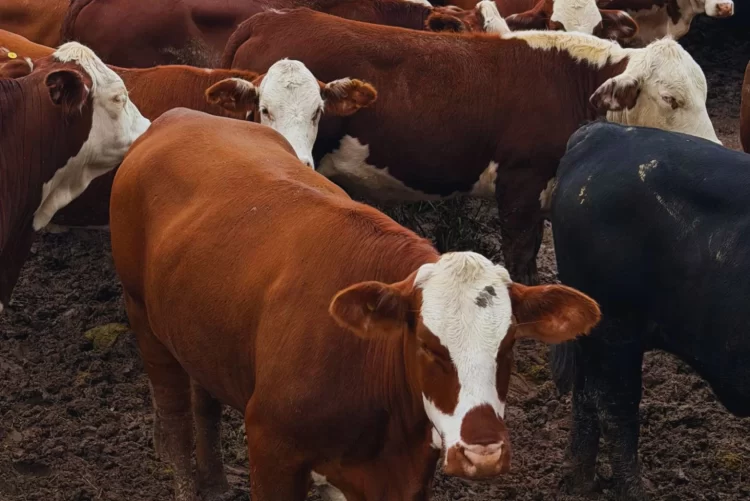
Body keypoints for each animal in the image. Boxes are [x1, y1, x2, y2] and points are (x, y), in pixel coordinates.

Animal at [109, 107, 601, 501]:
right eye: (426, 345)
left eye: (509, 345)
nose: (482, 453)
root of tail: (181, 116)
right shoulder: (271, 448)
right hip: (142, 315)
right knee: (175, 416)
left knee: (205, 400)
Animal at [222, 8, 719, 285]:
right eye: (671, 99)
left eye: (704, 93)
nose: (713, 151)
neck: (571, 86)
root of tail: (269, 17)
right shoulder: (521, 182)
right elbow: (521, 255)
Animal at [550, 121, 750, 500]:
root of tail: (605, 132)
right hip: (617, 332)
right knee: (616, 410)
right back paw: (634, 490)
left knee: (585, 398)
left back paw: (581, 483)